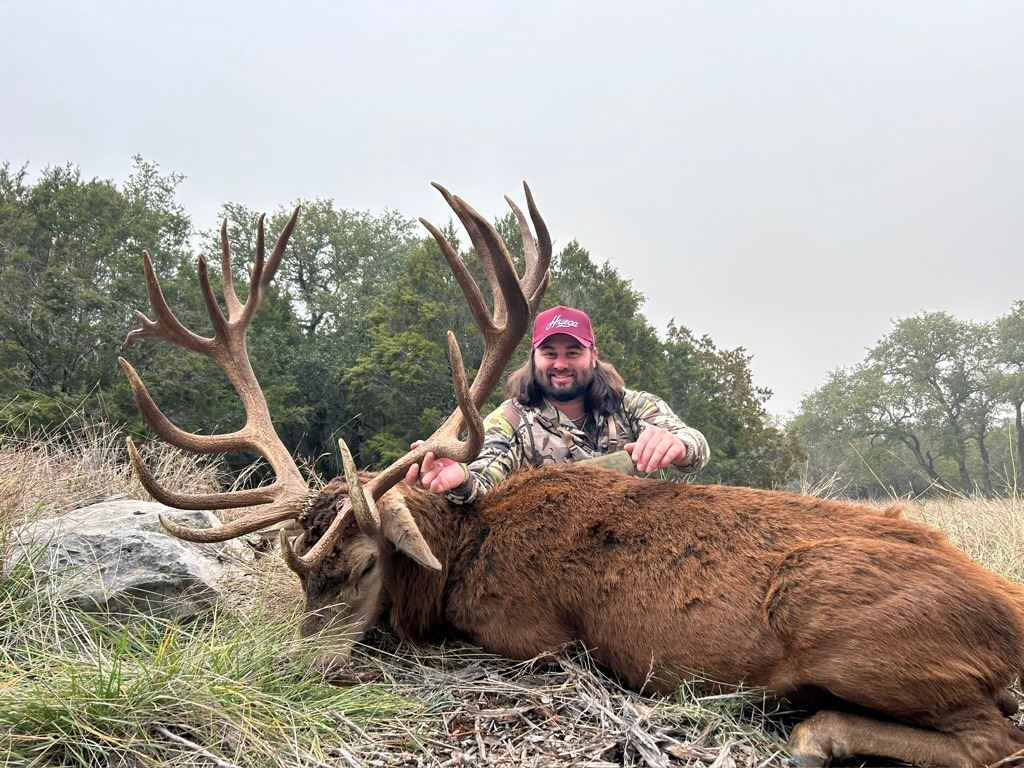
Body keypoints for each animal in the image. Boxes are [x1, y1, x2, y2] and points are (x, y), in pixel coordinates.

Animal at [118, 182, 1024, 767]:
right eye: (302, 576)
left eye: (362, 565)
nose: (297, 670)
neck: (458, 564)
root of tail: (1010, 617)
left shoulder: (532, 638)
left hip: (853, 638)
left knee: (993, 735)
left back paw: (810, 736)